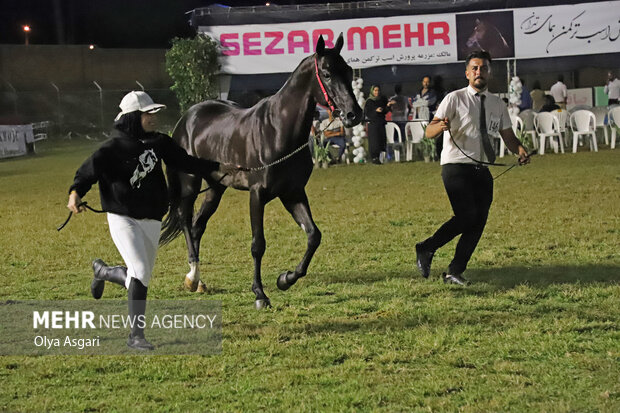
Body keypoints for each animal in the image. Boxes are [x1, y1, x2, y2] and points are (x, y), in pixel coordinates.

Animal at [160, 34, 364, 306]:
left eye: (349, 71)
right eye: (327, 73)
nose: (354, 114)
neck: (278, 130)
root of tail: (187, 118)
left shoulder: (293, 193)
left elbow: (313, 235)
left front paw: (285, 279)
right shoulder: (257, 194)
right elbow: (258, 244)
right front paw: (259, 293)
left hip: (216, 187)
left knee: (197, 225)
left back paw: (199, 281)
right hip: (190, 183)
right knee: (185, 219)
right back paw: (192, 277)